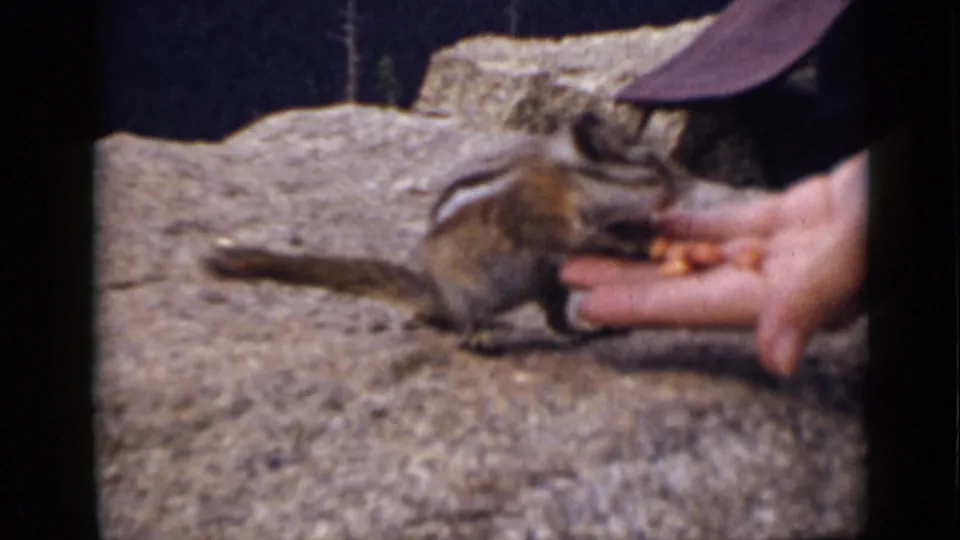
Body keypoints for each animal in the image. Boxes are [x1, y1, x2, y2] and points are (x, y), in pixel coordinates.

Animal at [202, 112, 696, 352]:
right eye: (647, 170)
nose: (682, 191)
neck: (570, 178)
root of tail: (437, 294)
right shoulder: (542, 215)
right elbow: (575, 239)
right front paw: (630, 244)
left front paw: (642, 235)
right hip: (472, 288)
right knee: (466, 324)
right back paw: (479, 335)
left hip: (548, 283)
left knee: (558, 322)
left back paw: (589, 332)